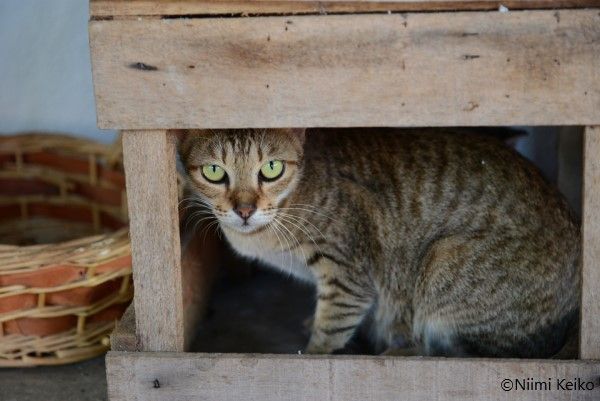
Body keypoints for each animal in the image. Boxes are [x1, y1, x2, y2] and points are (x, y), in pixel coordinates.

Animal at [177, 127, 580, 357]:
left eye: (272, 169)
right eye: (214, 172)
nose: (244, 210)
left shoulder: (349, 274)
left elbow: (332, 327)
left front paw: (316, 351)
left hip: (442, 265)